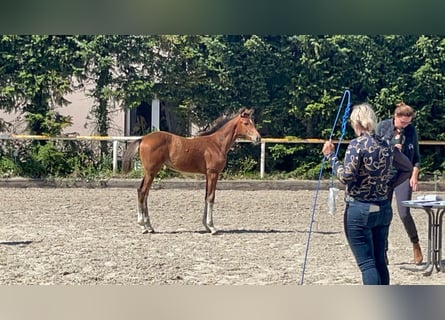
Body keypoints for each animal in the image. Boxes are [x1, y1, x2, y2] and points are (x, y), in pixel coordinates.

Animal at [121, 106, 260, 234]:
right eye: (246, 123)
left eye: (253, 122)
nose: (258, 138)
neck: (216, 144)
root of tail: (143, 139)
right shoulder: (213, 173)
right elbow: (211, 197)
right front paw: (212, 227)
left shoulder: (207, 175)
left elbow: (206, 196)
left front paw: (206, 226)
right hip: (151, 171)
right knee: (143, 192)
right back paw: (143, 226)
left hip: (149, 172)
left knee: (144, 193)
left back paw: (149, 226)